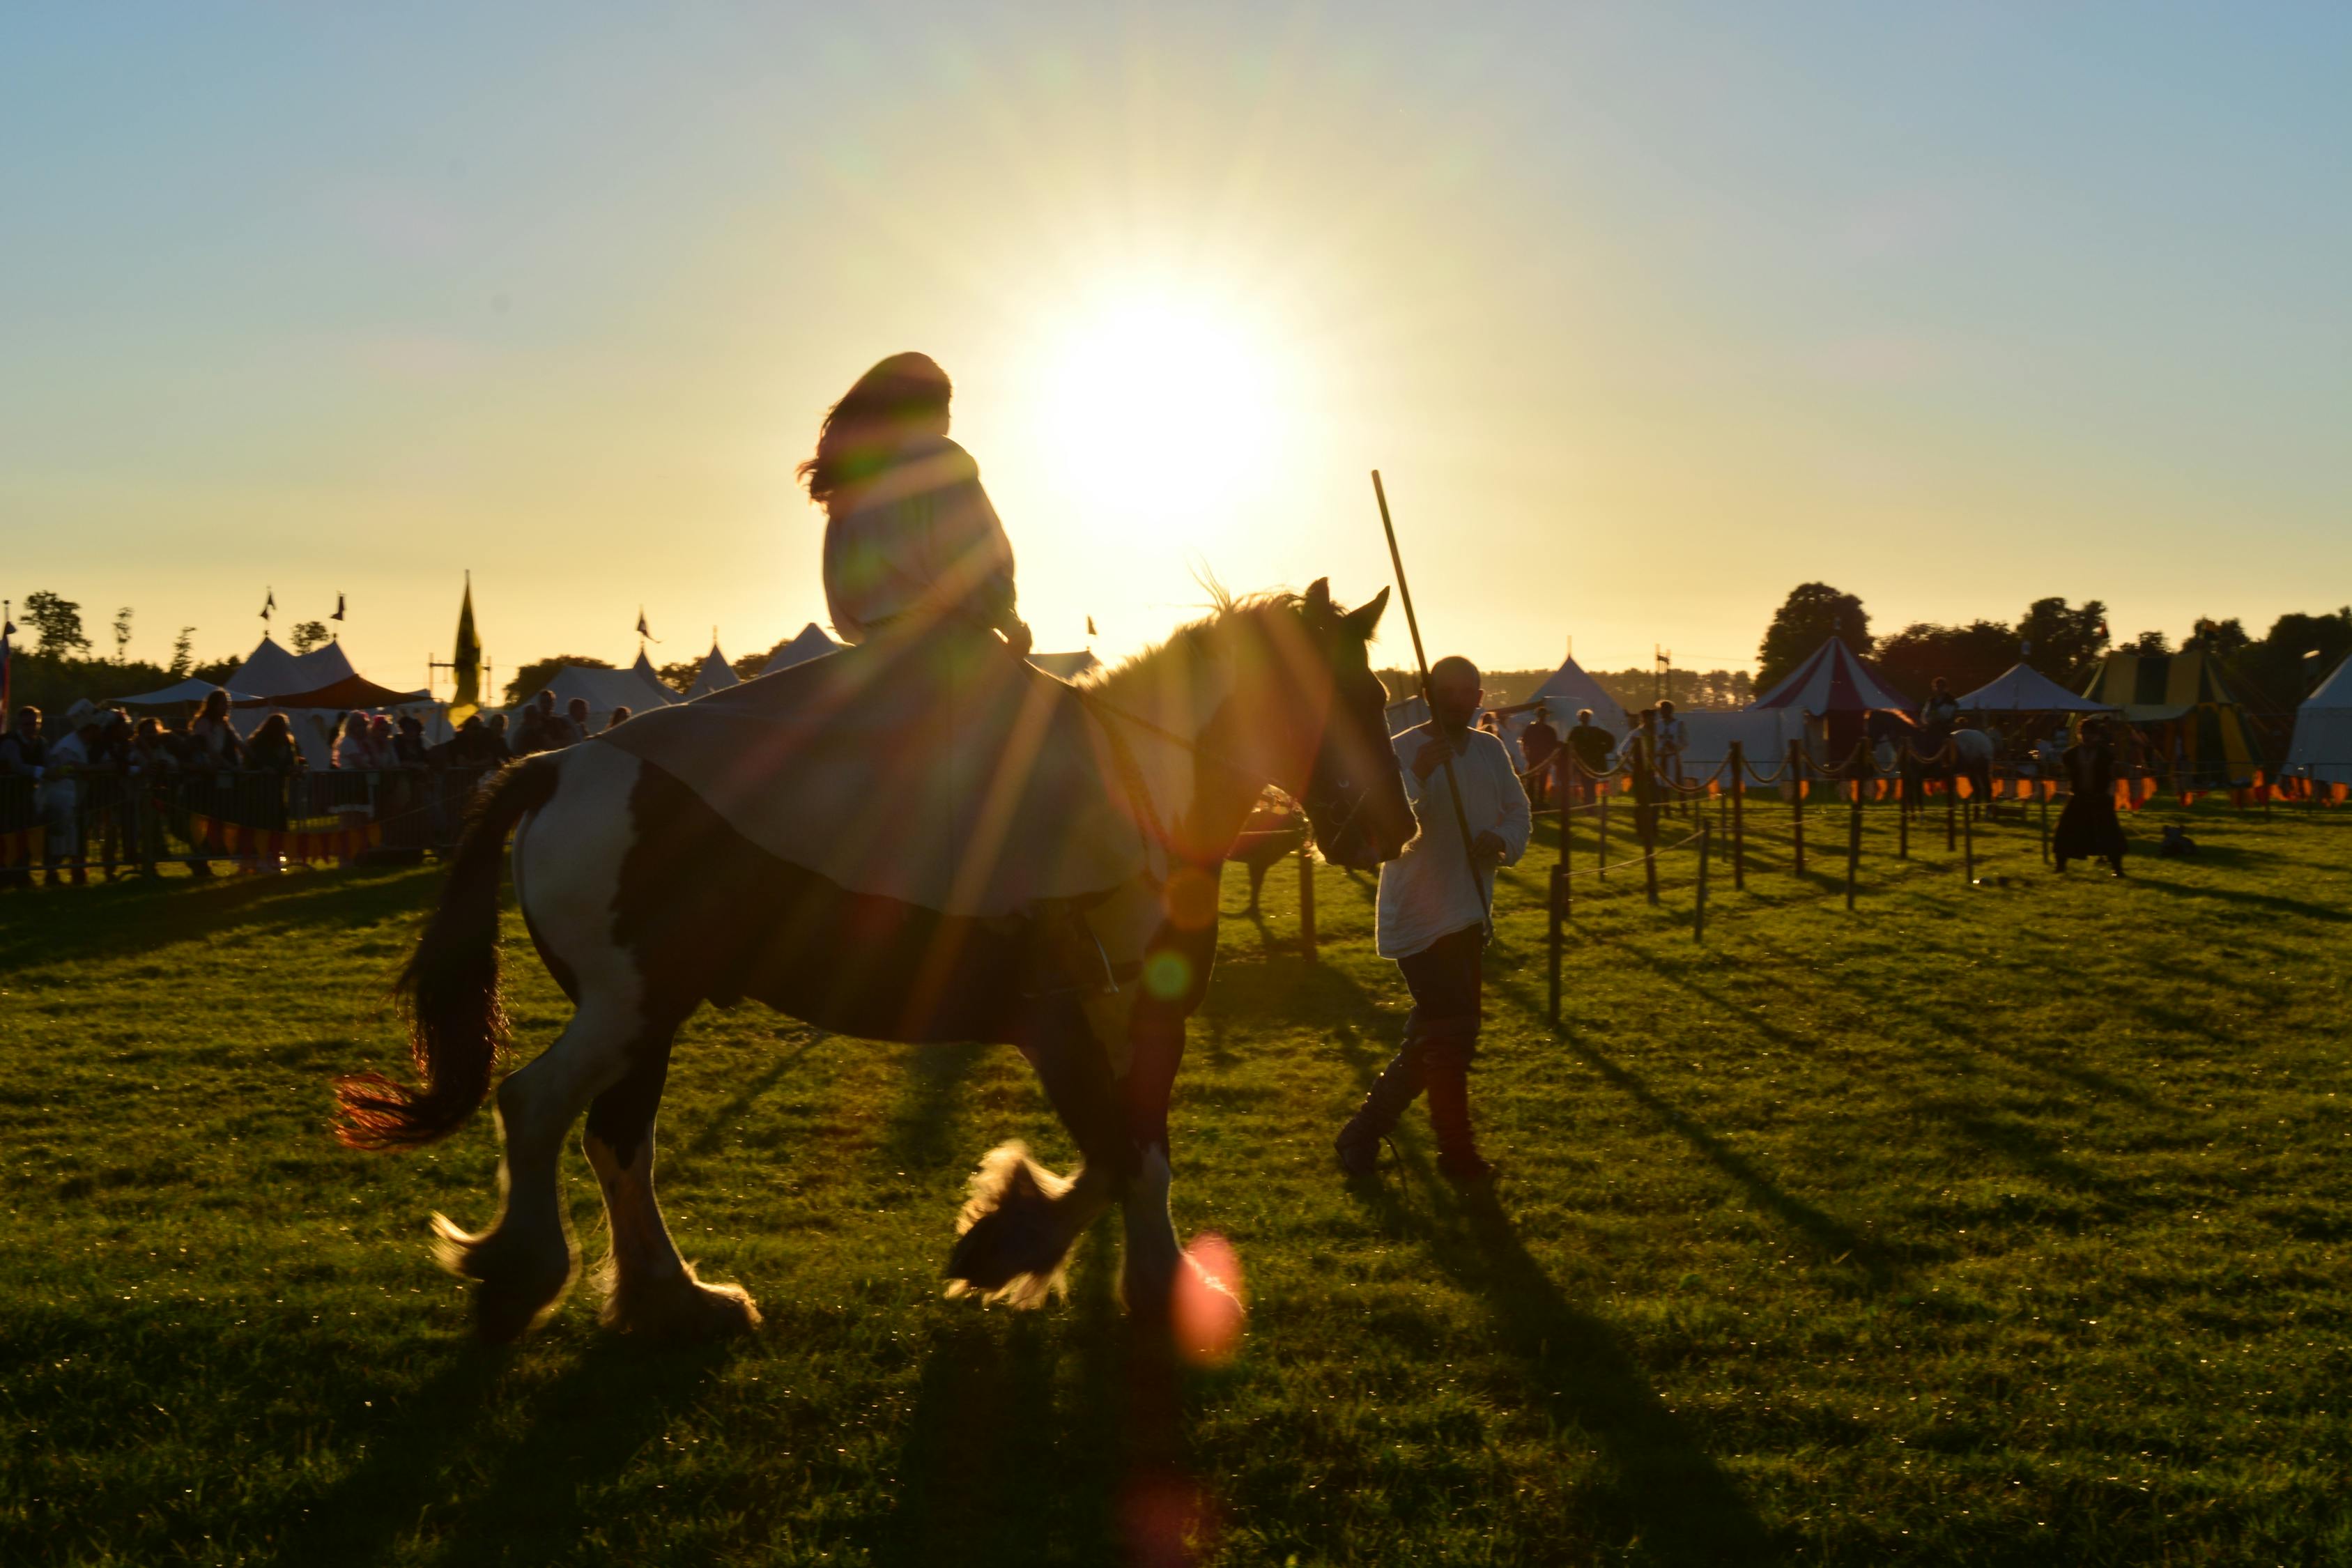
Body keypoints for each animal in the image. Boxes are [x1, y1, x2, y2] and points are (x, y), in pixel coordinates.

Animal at [331, 583, 1411, 1344]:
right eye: (1350, 695)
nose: (1392, 829)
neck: (1134, 789)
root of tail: (556, 765)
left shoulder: (1142, 1018)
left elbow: (1132, 1150)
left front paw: (1036, 1244)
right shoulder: (1057, 1019)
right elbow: (1124, 1154)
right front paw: (1043, 1253)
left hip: (648, 1017)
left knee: (616, 1141)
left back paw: (674, 1298)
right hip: (626, 1008)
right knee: (538, 1107)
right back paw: (524, 1269)